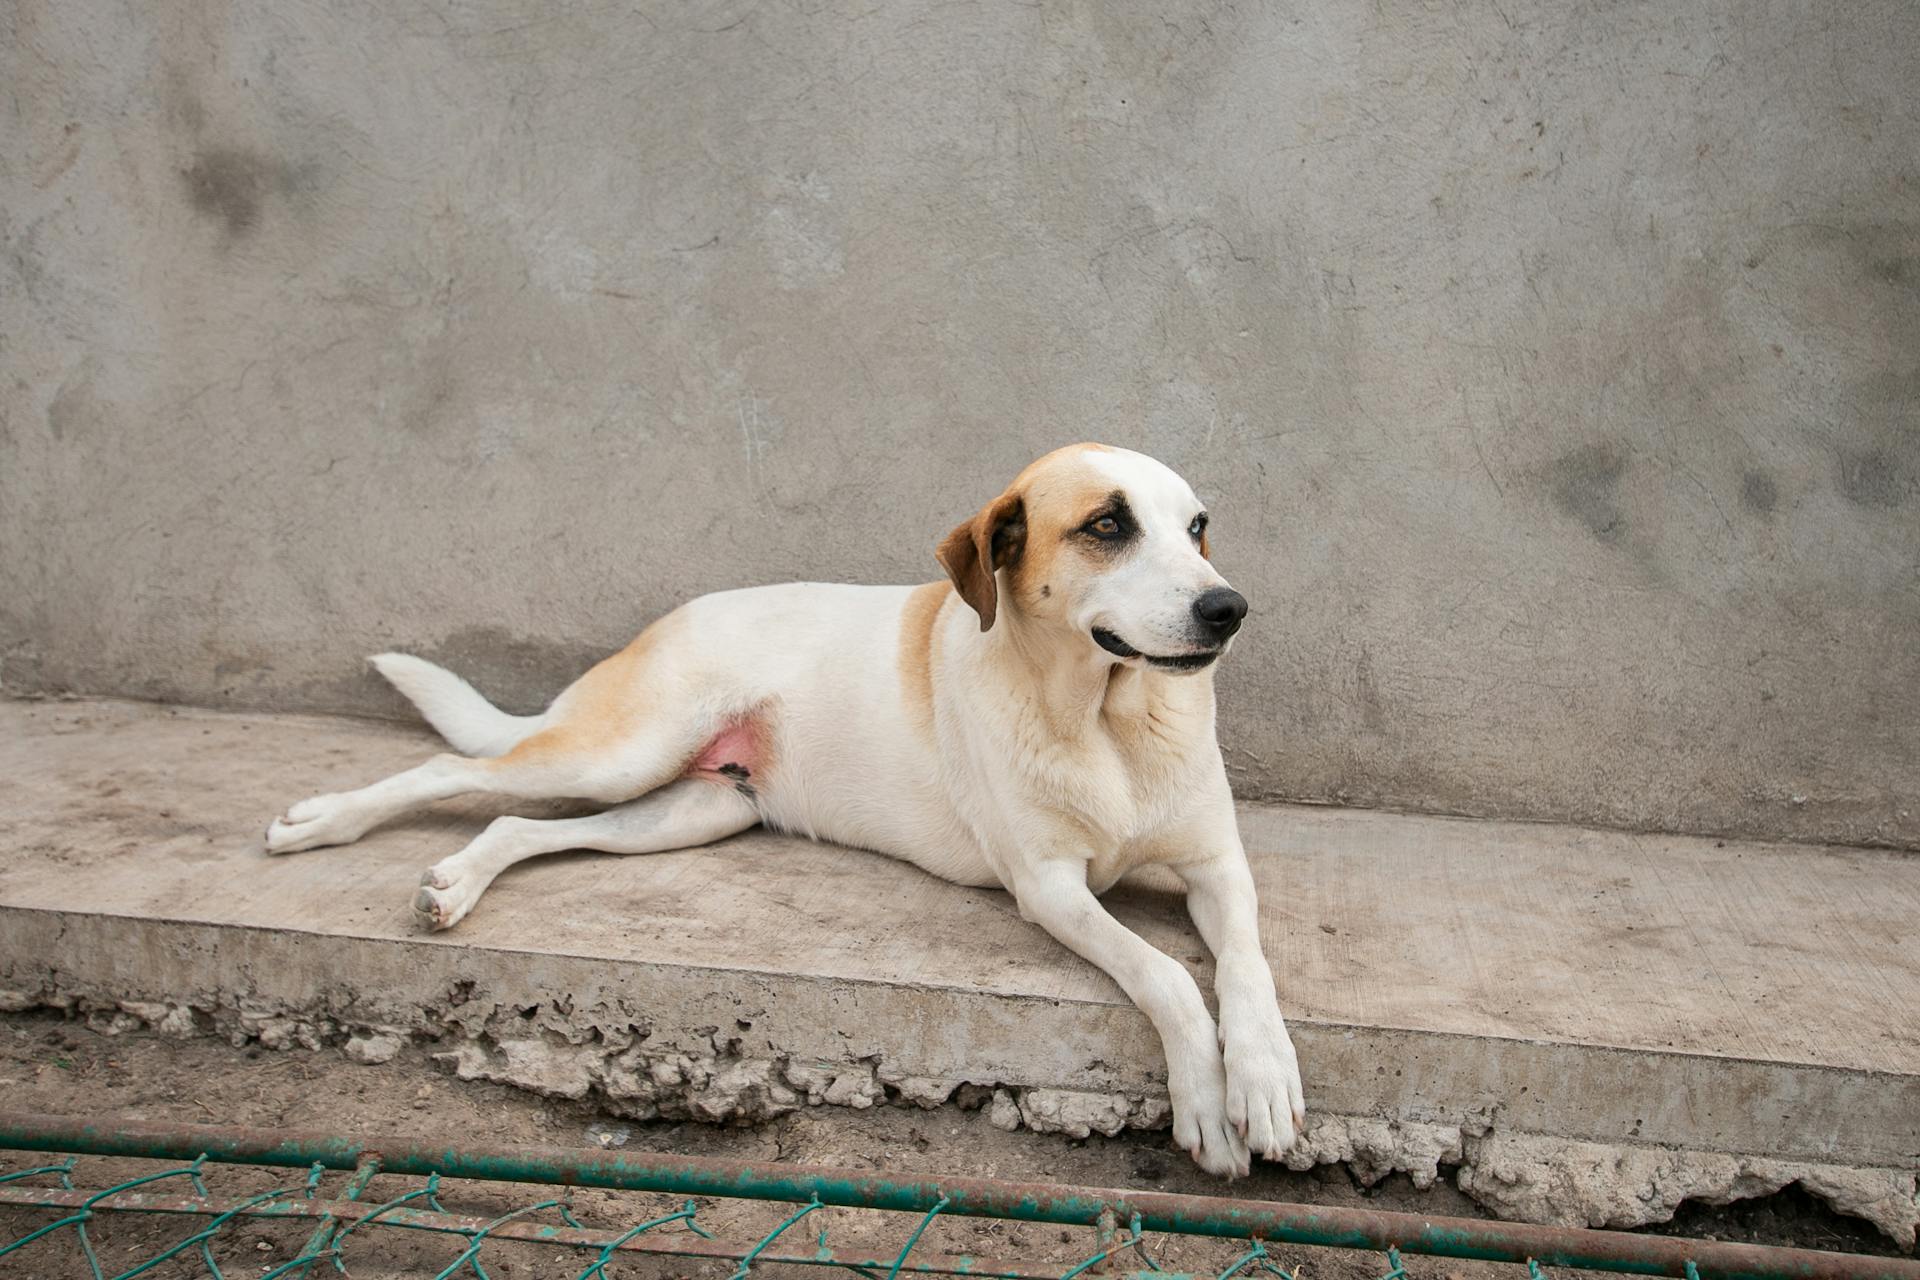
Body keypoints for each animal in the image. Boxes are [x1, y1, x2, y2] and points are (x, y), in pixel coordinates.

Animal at [266, 445, 1305, 1174]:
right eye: (1107, 524)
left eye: (1198, 526)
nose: (1230, 608)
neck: (1109, 722)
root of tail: (674, 615)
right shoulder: (1048, 888)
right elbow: (1167, 975)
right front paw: (1206, 1100)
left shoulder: (1218, 866)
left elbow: (1245, 967)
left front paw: (1262, 1080)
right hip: (620, 755)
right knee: (450, 768)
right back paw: (320, 822)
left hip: (690, 811)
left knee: (521, 825)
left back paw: (457, 881)